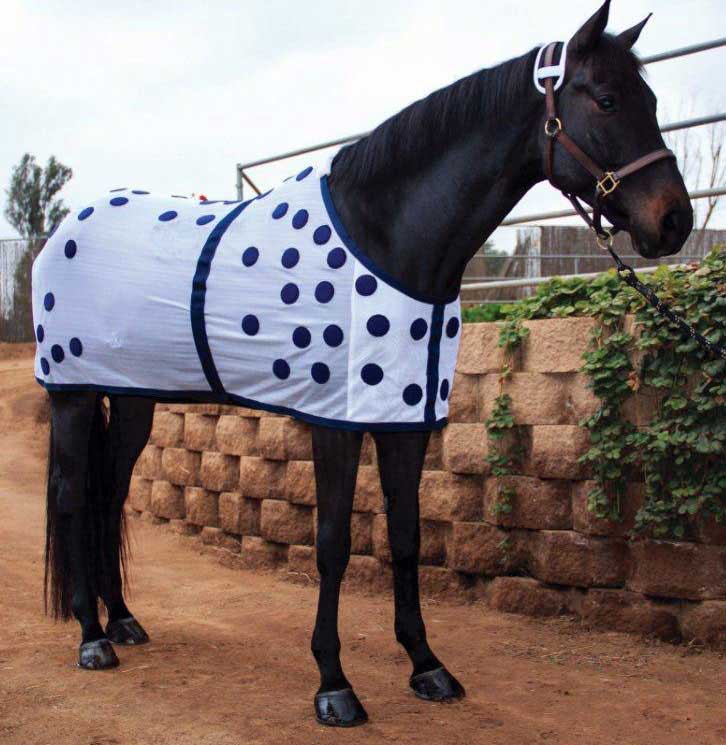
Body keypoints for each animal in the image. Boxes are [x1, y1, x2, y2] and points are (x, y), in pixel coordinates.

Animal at [34, 0, 692, 727]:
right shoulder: (337, 423)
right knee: (73, 496)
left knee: (108, 492)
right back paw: (90, 638)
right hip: (71, 395)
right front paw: (334, 684)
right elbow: (332, 544)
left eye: (651, 100)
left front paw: (427, 666)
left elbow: (406, 536)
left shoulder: (406, 422)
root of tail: (64, 229)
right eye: (605, 99)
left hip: (131, 398)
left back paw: (121, 620)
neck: (388, 238)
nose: (675, 221)